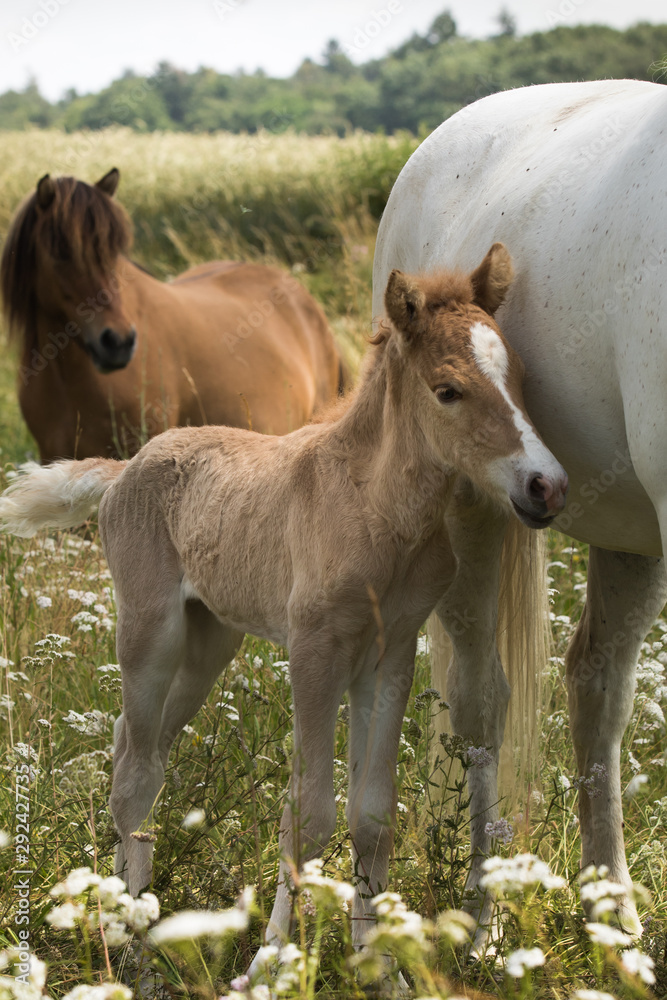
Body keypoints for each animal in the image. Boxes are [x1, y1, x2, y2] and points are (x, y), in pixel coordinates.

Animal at [0, 242, 568, 960]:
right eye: (448, 390)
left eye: (519, 377)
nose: (546, 486)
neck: (372, 508)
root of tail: (125, 467)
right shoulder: (313, 653)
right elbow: (307, 813)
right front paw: (273, 957)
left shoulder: (387, 656)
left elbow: (371, 815)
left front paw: (374, 960)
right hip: (151, 634)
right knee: (131, 769)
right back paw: (128, 940)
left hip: (208, 642)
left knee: (141, 746)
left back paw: (136, 907)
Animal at [376, 80, 667, 936]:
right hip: (471, 516)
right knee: (483, 700)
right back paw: (482, 917)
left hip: (630, 539)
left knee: (597, 688)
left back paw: (615, 919)